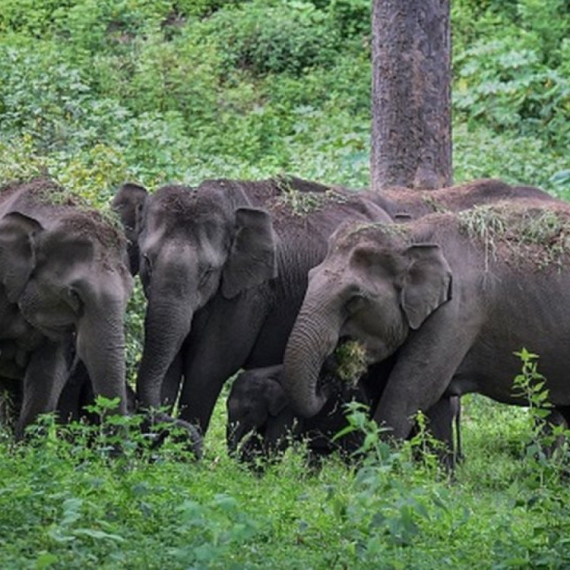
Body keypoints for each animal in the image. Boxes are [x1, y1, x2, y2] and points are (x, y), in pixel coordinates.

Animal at [280, 195, 570, 448]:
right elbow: (434, 406)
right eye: (309, 276)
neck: (411, 236)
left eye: (355, 298)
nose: (327, 382)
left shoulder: (457, 312)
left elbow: (410, 392)